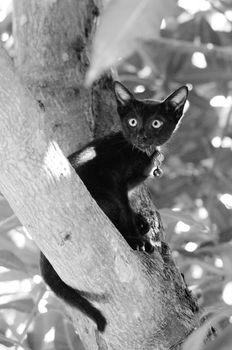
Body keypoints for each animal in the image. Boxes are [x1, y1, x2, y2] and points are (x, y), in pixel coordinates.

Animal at [40, 80, 188, 332]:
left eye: (156, 123)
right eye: (133, 121)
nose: (142, 135)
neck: (139, 153)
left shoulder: (126, 187)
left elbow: (128, 206)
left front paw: (140, 223)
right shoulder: (111, 177)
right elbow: (125, 209)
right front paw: (137, 238)